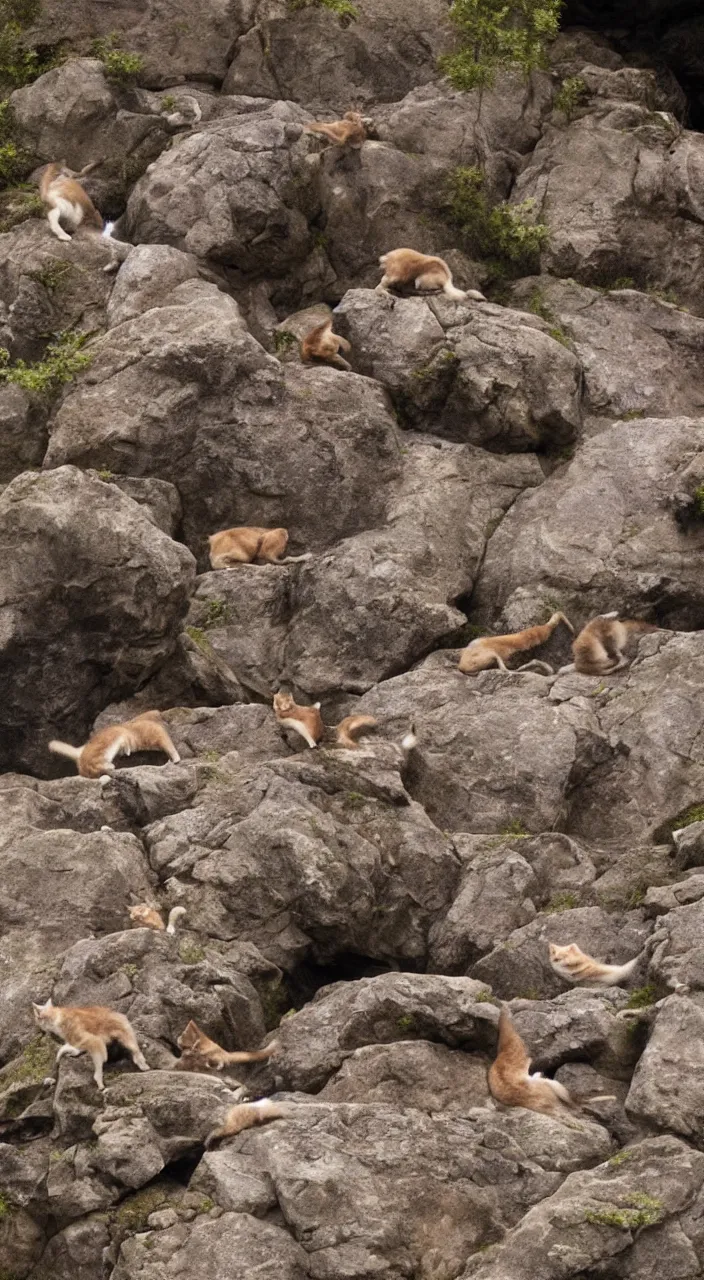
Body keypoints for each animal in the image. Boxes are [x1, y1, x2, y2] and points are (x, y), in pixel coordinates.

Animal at [48, 711, 180, 778]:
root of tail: (80, 753)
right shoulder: (152, 732)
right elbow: (167, 743)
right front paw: (176, 759)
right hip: (100, 752)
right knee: (93, 766)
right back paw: (109, 765)